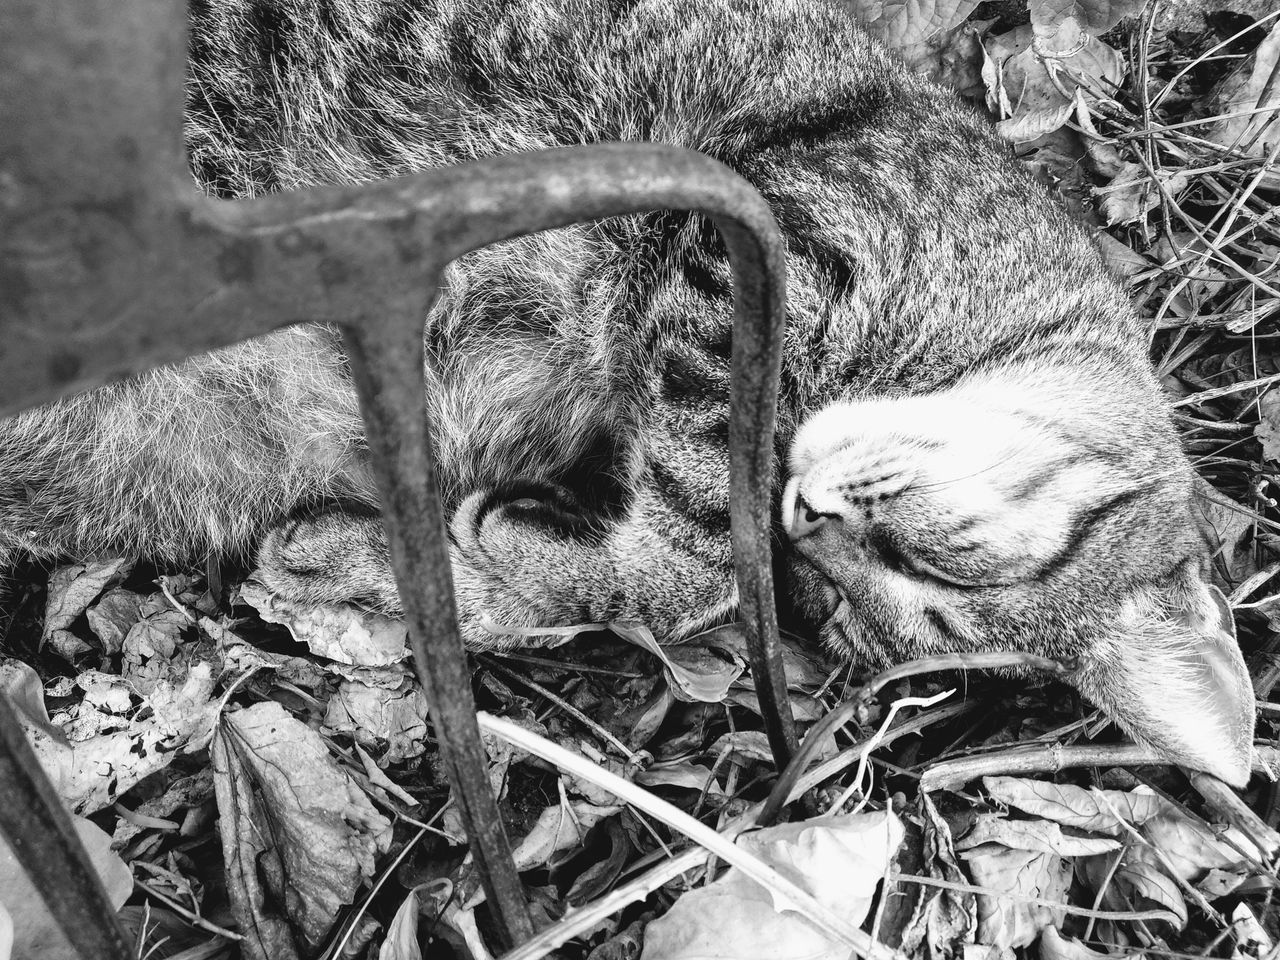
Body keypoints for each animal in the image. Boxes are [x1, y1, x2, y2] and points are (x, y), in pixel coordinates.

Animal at [0, 0, 1254, 783]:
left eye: (835, 605)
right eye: (933, 563)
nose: (810, 520)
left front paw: (389, 568)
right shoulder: (771, 234)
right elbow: (698, 533)